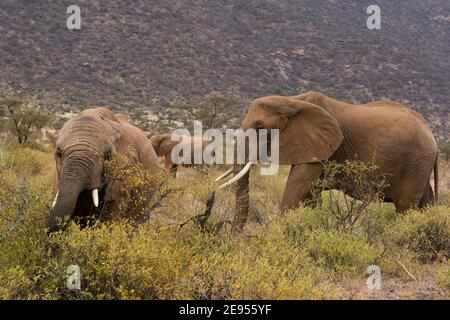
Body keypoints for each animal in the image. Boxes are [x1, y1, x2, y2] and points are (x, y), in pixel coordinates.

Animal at [218, 92, 440, 230]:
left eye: (259, 128)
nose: (232, 236)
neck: (292, 101)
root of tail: (433, 138)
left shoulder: (321, 145)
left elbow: (297, 184)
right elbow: (310, 191)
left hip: (415, 161)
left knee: (405, 206)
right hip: (420, 164)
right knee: (425, 201)